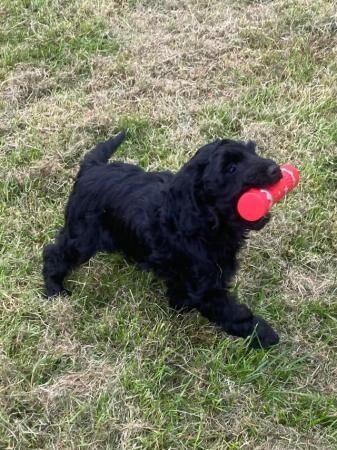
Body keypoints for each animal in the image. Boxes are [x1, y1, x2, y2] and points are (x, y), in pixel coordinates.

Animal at [43, 130, 282, 348]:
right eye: (231, 168)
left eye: (253, 152)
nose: (276, 169)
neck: (204, 220)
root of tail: (92, 167)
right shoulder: (205, 287)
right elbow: (232, 312)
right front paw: (264, 334)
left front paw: (179, 304)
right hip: (82, 237)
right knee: (54, 253)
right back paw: (54, 289)